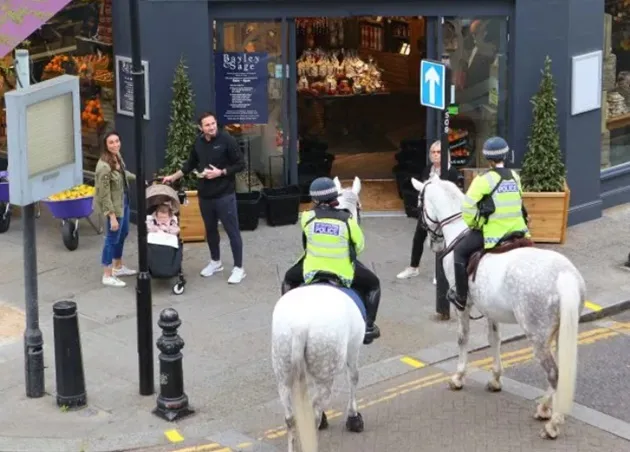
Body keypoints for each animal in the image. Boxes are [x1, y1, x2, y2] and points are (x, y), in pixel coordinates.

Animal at [272, 177, 366, 452]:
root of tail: (300, 327)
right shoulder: (354, 347)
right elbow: (353, 377)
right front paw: (353, 417)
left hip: (283, 372)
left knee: (292, 417)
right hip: (326, 369)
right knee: (311, 413)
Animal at [414, 175, 588, 440]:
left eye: (419, 203)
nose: (432, 244)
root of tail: (564, 274)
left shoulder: (463, 306)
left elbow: (463, 339)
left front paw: (458, 377)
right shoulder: (490, 309)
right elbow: (494, 339)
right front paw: (495, 379)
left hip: (537, 336)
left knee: (554, 374)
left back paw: (551, 420)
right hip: (560, 331)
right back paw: (547, 410)